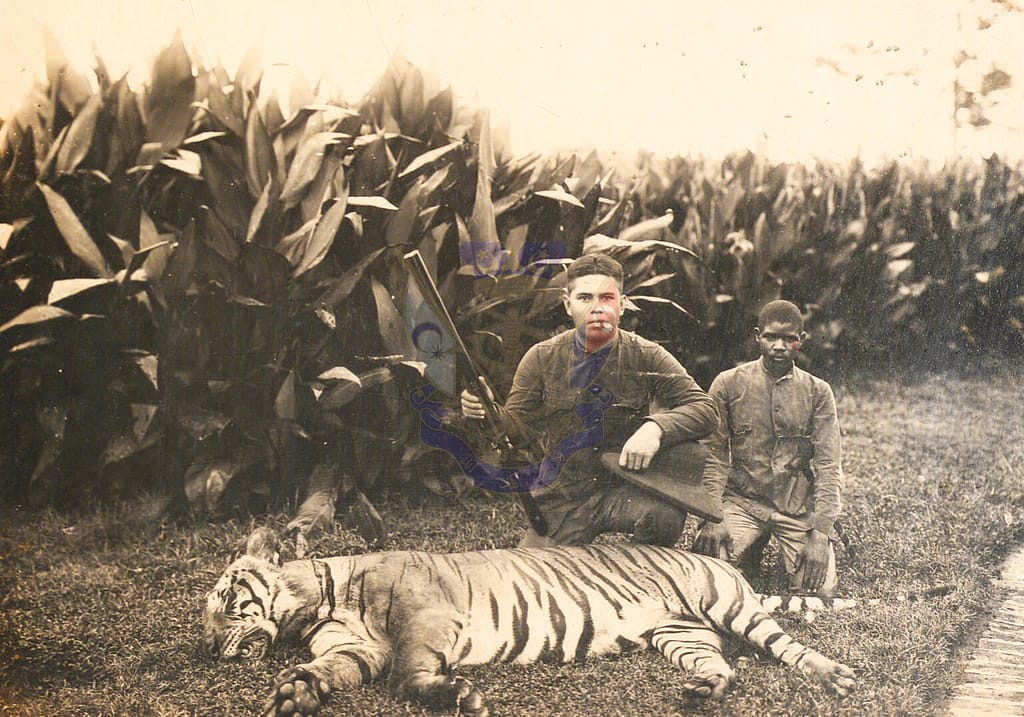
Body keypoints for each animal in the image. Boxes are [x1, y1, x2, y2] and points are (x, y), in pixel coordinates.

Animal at [202, 529, 856, 716]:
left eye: (226, 598)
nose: (208, 649)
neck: (315, 606)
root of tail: (724, 562)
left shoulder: (425, 618)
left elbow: (407, 675)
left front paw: (459, 696)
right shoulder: (353, 649)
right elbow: (325, 672)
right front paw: (294, 695)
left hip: (729, 606)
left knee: (787, 647)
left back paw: (836, 677)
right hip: (680, 636)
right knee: (726, 667)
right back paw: (702, 692)